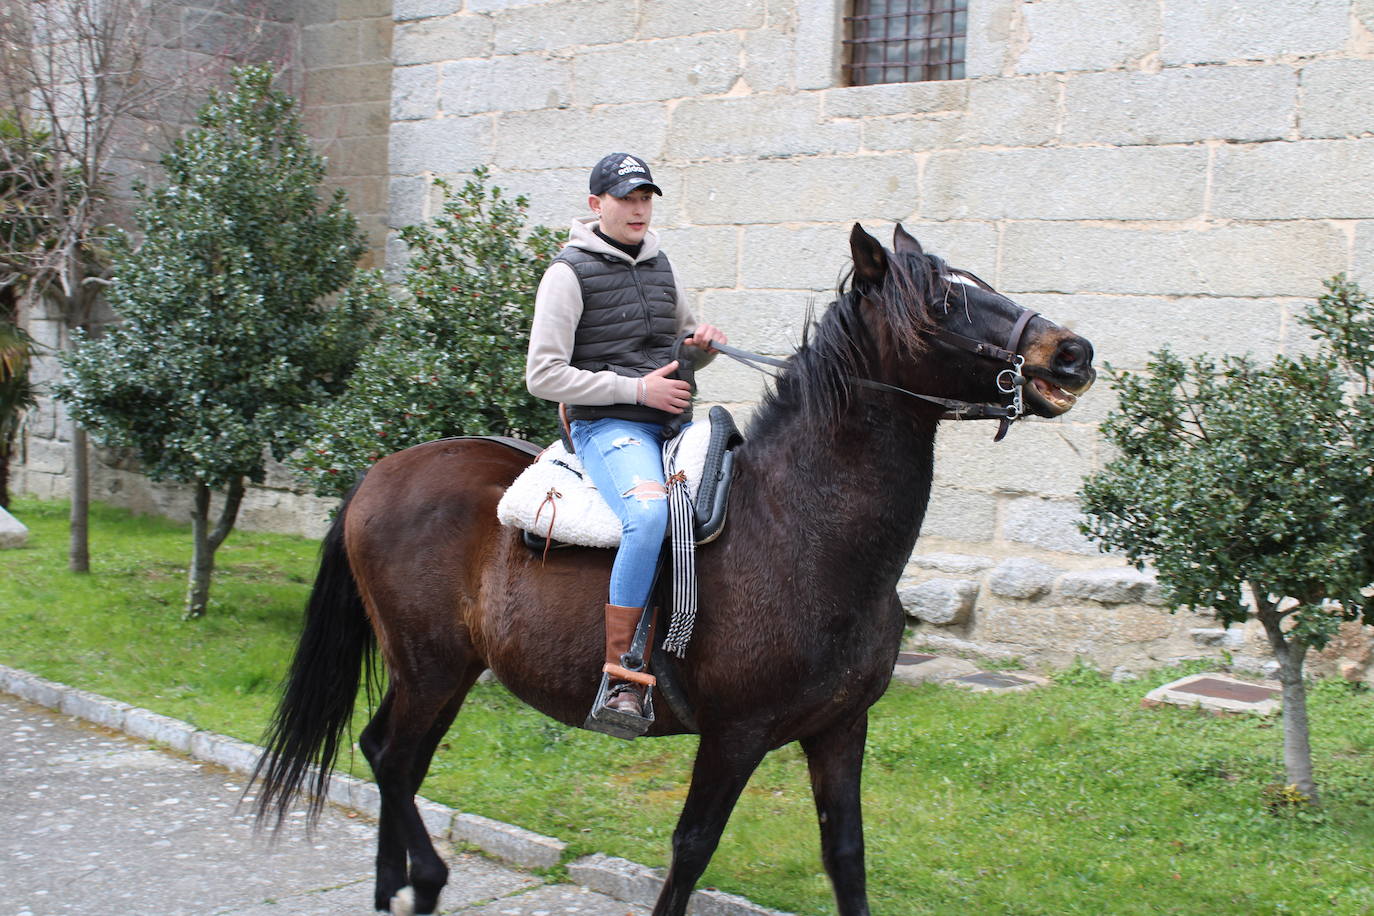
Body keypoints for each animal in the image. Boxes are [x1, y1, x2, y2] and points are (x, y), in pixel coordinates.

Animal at [252, 223, 1099, 916]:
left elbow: (847, 856)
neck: (800, 527)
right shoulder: (734, 735)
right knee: (394, 761)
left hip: (443, 671)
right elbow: (691, 851)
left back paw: (392, 886)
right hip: (431, 665)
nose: (1071, 353)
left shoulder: (839, 728)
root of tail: (378, 475)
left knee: (388, 756)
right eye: (942, 303)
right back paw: (425, 879)